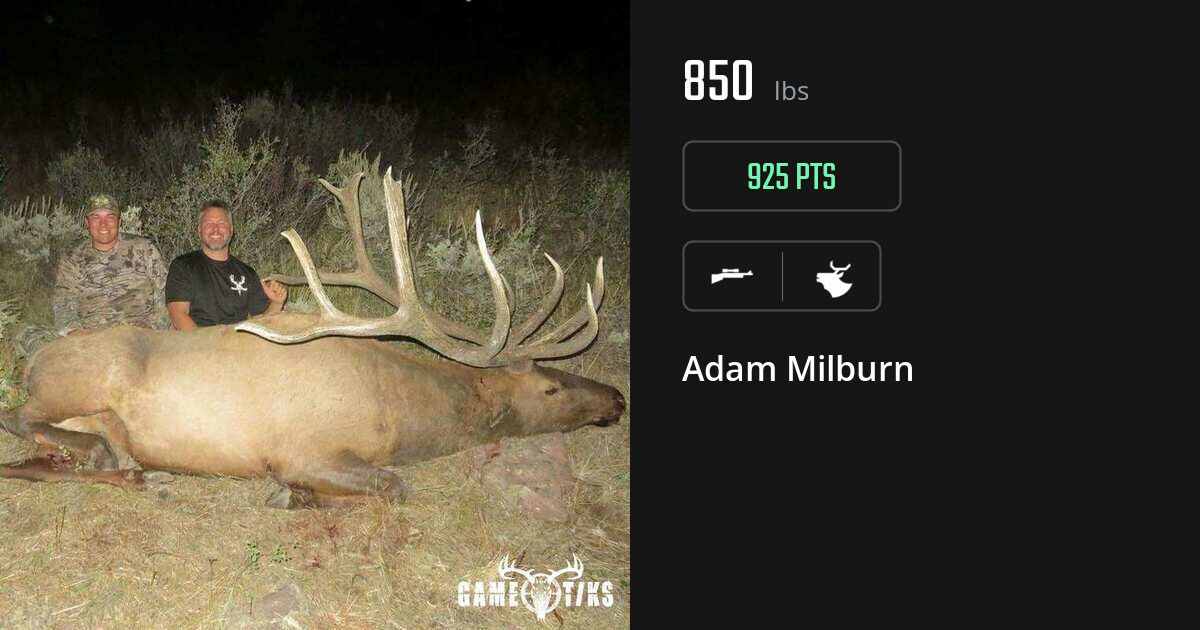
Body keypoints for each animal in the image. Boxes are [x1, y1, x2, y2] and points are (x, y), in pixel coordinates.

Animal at [0, 169, 625, 508]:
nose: (616, 398)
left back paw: (130, 470)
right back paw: (113, 459)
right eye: (548, 388)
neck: (397, 414)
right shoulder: (302, 450)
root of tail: (33, 360)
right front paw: (291, 496)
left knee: (38, 460)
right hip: (74, 382)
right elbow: (394, 486)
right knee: (19, 418)